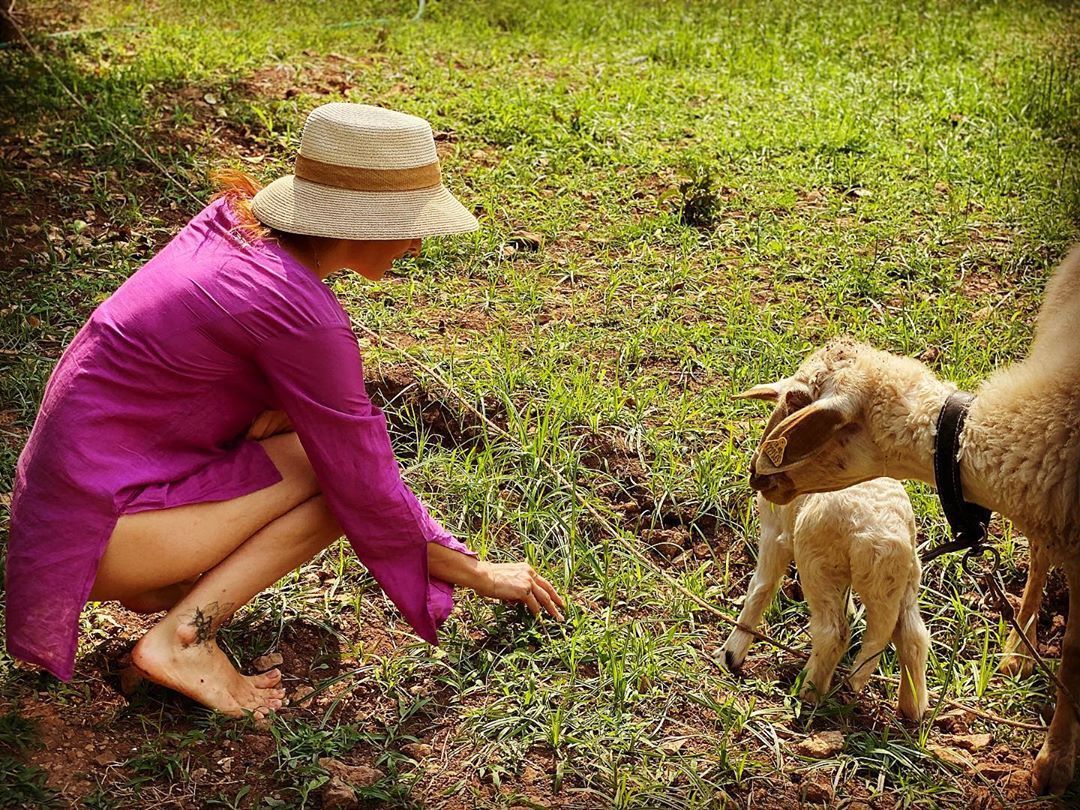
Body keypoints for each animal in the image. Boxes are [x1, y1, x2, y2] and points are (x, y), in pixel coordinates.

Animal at [725, 386, 928, 721]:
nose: (756, 472)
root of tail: (884, 537)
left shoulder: (775, 533)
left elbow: (761, 589)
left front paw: (730, 654)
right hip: (904, 578)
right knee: (913, 637)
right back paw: (913, 708)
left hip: (818, 563)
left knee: (833, 632)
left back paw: (808, 692)